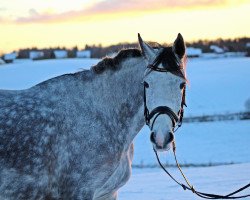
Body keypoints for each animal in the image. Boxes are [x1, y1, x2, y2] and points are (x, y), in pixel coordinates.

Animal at [0, 33, 187, 199]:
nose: (161, 137)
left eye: (181, 84)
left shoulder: (108, 193)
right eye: (146, 83)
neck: (102, 114)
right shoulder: (79, 192)